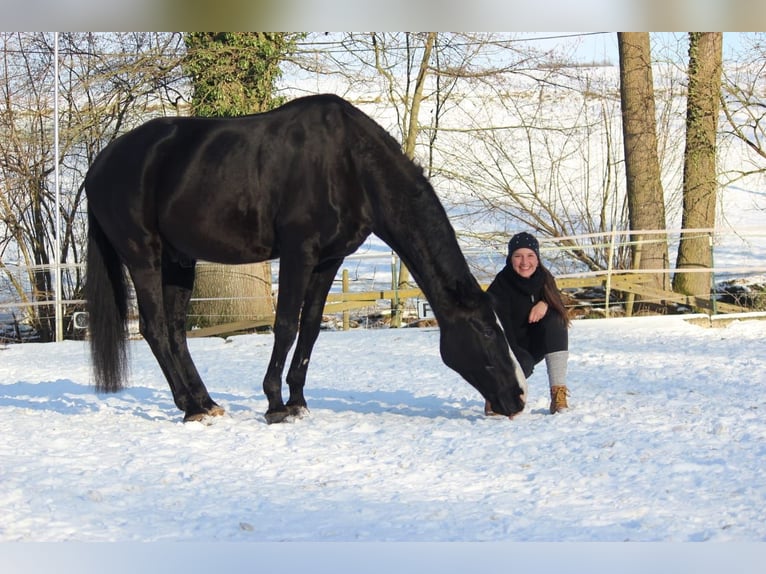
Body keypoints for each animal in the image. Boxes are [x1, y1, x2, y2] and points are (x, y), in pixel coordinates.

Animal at [84, 94, 528, 426]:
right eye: (486, 330)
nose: (518, 398)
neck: (350, 163)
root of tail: (99, 166)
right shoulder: (299, 253)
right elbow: (284, 325)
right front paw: (275, 404)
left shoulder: (329, 259)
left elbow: (311, 327)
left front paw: (298, 401)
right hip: (143, 256)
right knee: (156, 329)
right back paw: (190, 407)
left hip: (180, 262)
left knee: (177, 332)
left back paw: (205, 402)